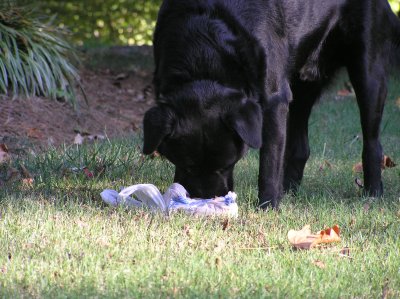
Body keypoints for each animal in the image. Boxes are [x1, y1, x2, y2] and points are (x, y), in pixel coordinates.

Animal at [142, 0, 398, 210]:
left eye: (227, 165)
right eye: (186, 165)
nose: (206, 200)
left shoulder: (274, 100)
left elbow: (269, 161)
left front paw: (268, 205)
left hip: (368, 72)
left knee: (372, 141)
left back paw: (373, 192)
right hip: (303, 82)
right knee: (300, 146)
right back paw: (290, 190)